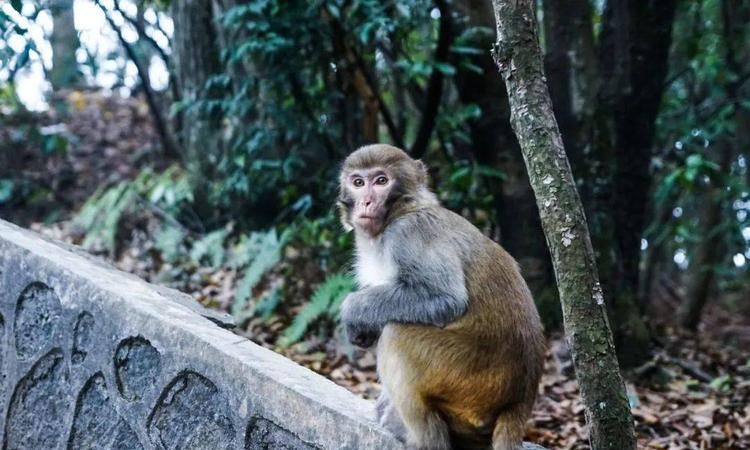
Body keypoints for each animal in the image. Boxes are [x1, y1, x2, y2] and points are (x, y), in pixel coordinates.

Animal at [340, 145, 548, 450]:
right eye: (358, 182)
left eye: (381, 181)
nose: (366, 202)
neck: (403, 209)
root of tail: (519, 403)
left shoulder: (409, 233)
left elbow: (445, 298)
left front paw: (352, 310)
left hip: (467, 375)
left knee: (397, 335)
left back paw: (421, 438)